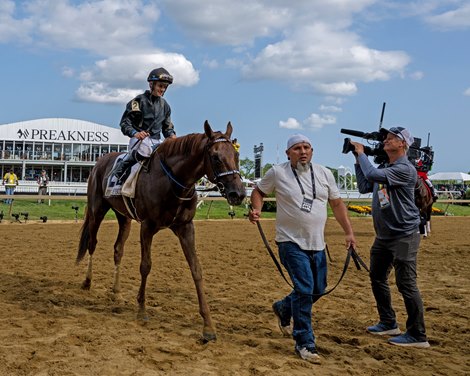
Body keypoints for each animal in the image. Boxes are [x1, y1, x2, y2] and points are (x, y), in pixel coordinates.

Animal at [76, 120, 246, 340]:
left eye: (236, 156)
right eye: (216, 157)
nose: (238, 193)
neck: (173, 182)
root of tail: (100, 161)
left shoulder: (185, 227)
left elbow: (196, 269)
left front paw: (208, 325)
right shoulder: (147, 226)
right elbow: (145, 266)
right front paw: (141, 310)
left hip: (124, 217)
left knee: (118, 249)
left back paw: (117, 292)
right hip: (97, 210)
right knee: (92, 243)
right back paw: (87, 282)